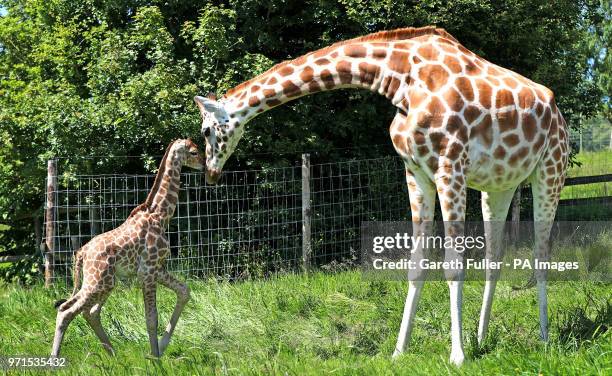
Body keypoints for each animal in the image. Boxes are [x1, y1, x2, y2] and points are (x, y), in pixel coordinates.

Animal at [51, 139, 204, 358]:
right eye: (193, 152)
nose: (204, 165)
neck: (160, 215)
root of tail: (82, 253)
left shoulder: (158, 269)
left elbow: (184, 291)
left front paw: (162, 346)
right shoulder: (147, 271)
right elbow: (151, 318)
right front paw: (155, 357)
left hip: (105, 282)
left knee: (90, 311)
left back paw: (113, 354)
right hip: (98, 282)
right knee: (66, 310)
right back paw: (55, 359)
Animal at [195, 25, 568, 364]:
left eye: (205, 131)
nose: (211, 172)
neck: (401, 80)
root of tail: (557, 111)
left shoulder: (450, 166)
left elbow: (453, 263)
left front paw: (457, 356)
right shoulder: (416, 172)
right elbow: (417, 264)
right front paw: (399, 351)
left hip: (550, 170)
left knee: (541, 253)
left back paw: (544, 338)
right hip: (499, 186)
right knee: (495, 257)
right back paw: (481, 337)